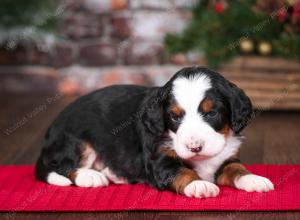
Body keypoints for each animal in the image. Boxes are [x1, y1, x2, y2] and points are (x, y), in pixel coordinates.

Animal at [35, 66, 274, 198]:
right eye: (175, 116)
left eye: (211, 113)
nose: (194, 147)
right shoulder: (160, 161)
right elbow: (182, 171)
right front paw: (199, 184)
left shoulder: (226, 157)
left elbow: (236, 169)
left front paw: (254, 179)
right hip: (76, 141)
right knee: (60, 166)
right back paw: (90, 176)